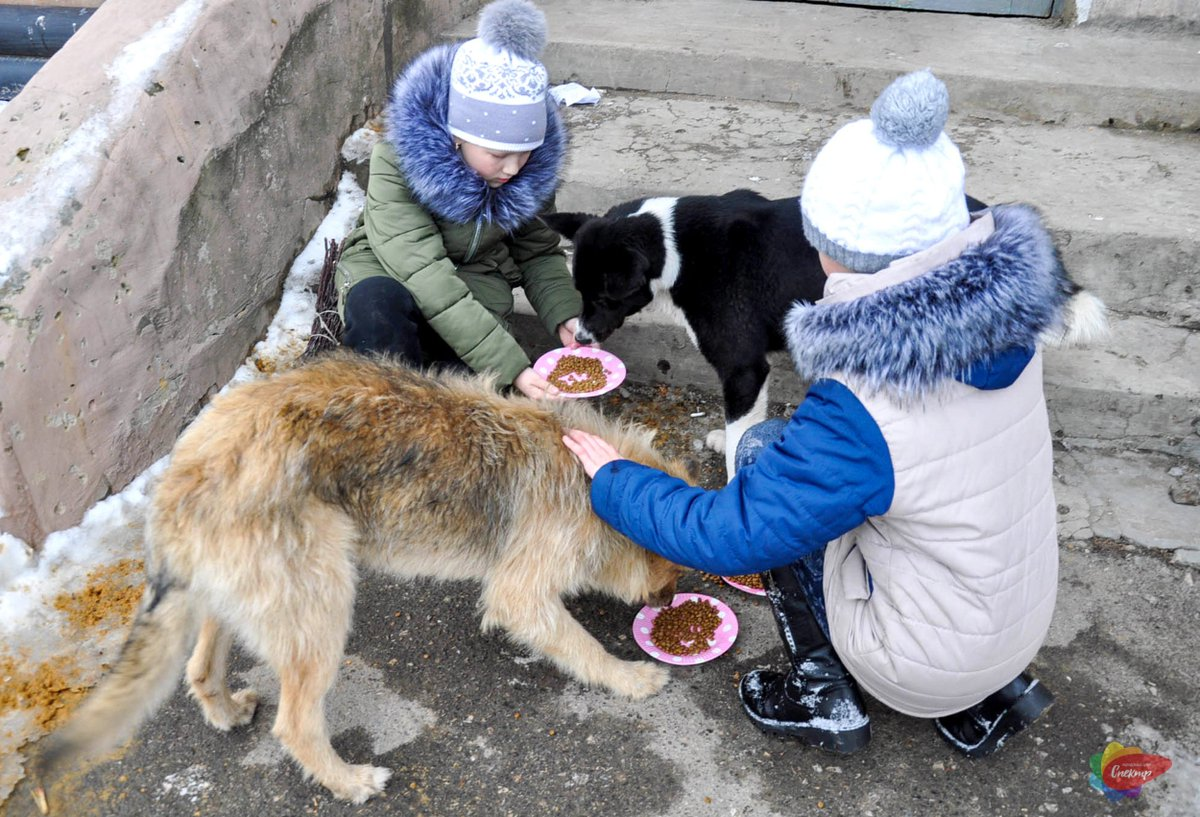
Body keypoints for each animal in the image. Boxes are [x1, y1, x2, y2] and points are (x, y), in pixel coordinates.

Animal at [32, 350, 691, 801]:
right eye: (673, 570)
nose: (670, 602)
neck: (591, 479)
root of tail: (185, 470)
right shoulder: (521, 594)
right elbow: (581, 645)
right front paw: (630, 678)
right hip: (320, 609)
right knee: (296, 724)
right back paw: (349, 783)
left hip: (246, 595)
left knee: (199, 665)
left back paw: (224, 711)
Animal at [547, 188, 820, 477]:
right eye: (580, 292)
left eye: (602, 298)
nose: (580, 338)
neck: (677, 251)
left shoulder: (743, 371)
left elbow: (738, 434)